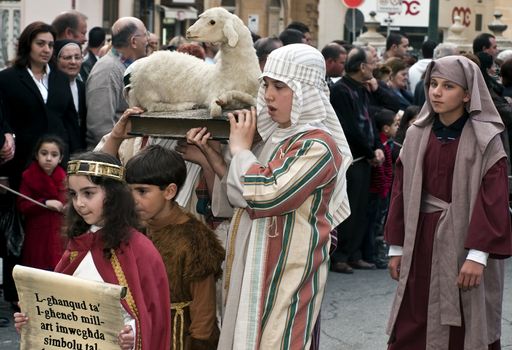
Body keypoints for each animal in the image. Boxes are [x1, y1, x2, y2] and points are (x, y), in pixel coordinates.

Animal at [123, 6, 260, 117]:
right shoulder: (212, 95)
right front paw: (223, 100)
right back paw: (188, 105)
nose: (188, 31)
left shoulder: (256, 95)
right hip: (148, 93)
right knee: (155, 106)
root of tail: (133, 71)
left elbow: (249, 99)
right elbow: (216, 110)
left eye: (212, 22)